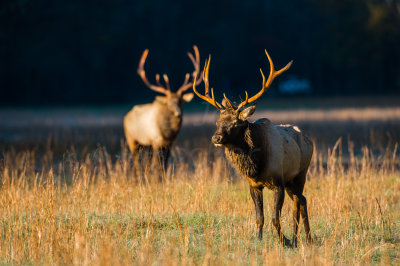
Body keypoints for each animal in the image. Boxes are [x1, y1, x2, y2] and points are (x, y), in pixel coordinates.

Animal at [192, 50, 314, 247]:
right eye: (217, 121)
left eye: (235, 122)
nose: (216, 138)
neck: (257, 166)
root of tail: (309, 139)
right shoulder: (253, 185)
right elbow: (260, 217)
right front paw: (258, 238)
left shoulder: (278, 181)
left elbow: (275, 218)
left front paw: (284, 241)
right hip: (291, 181)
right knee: (302, 199)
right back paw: (307, 237)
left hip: (300, 174)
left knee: (298, 201)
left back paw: (298, 239)